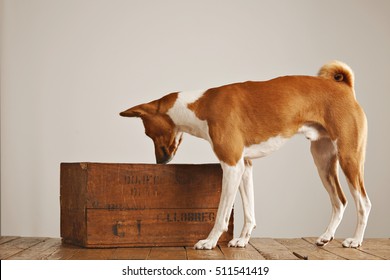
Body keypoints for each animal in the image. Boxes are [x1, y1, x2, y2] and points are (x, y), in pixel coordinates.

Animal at [120, 61, 370, 249]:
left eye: (148, 133)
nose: (160, 162)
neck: (200, 105)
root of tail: (344, 86)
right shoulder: (245, 166)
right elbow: (250, 213)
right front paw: (242, 240)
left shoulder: (231, 165)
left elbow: (221, 214)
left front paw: (210, 241)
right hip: (323, 161)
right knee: (340, 201)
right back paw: (326, 236)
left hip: (349, 158)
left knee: (363, 203)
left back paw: (355, 240)